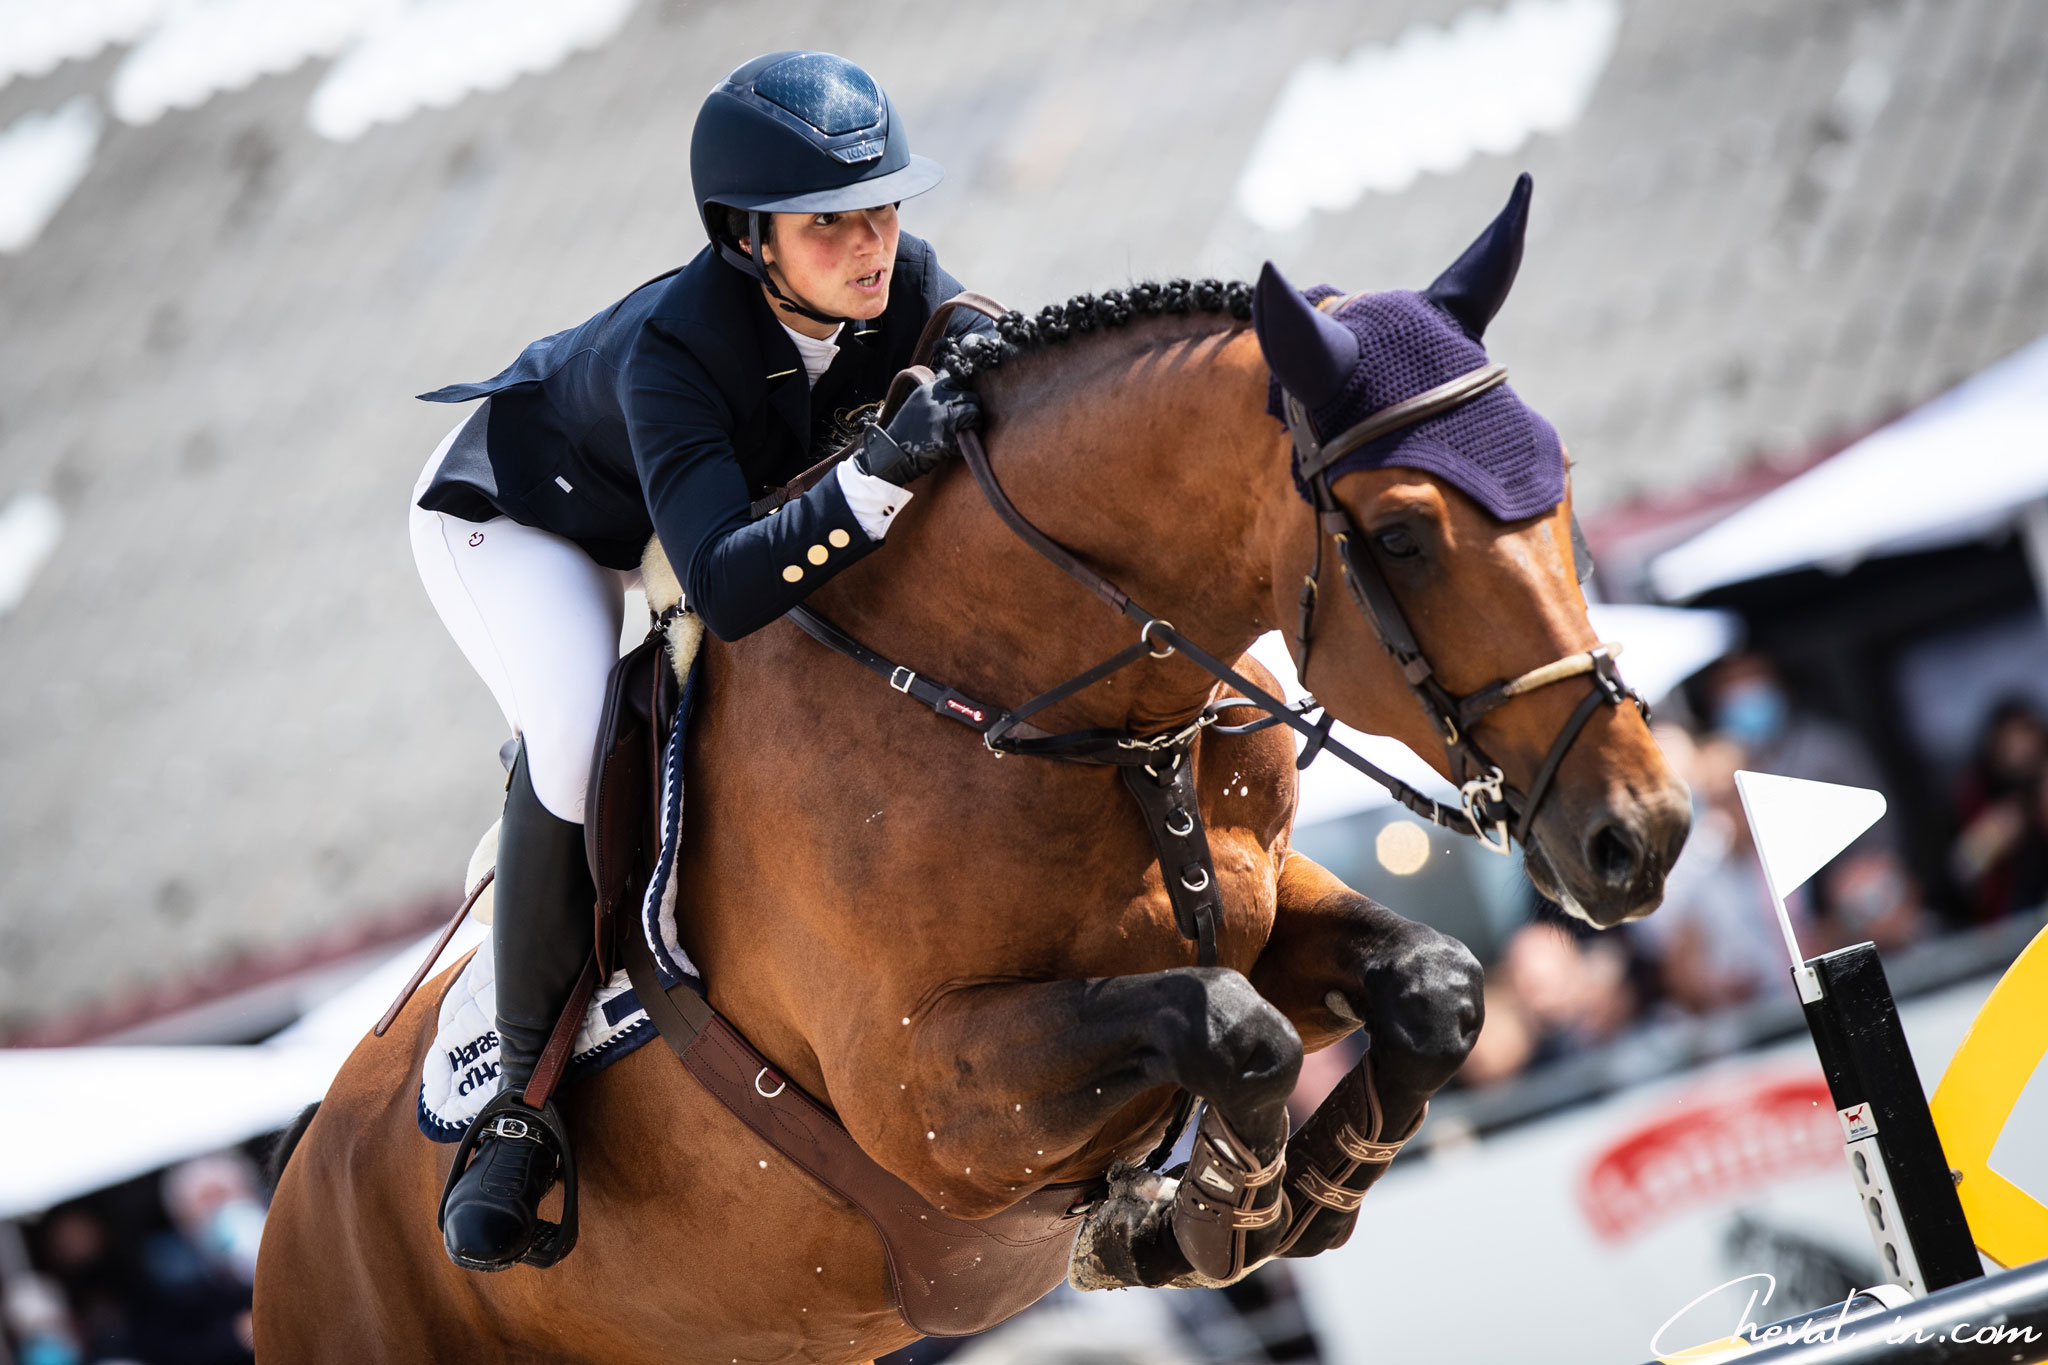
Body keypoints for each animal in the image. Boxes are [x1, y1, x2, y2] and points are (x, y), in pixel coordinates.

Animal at [256, 184, 1687, 1365]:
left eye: (1561, 483)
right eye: (1400, 534)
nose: (1644, 834)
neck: (1056, 709)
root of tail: (291, 1202)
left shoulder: (1259, 898)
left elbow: (1429, 986)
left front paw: (1288, 1200)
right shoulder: (927, 1100)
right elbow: (1228, 1025)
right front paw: (1205, 1218)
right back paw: (502, 1179)